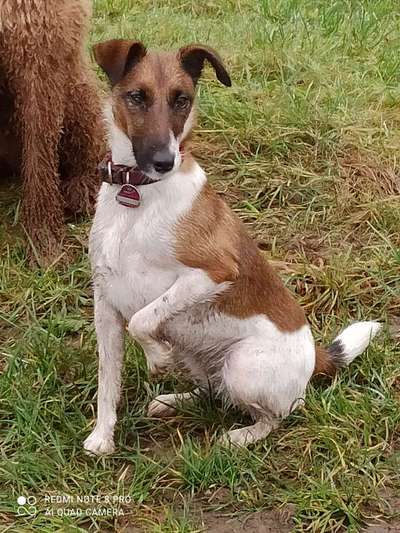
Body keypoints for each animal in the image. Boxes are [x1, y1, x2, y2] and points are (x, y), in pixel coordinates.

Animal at [84, 38, 382, 454]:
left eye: (182, 100)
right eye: (136, 97)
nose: (164, 161)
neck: (138, 198)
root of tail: (316, 356)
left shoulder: (215, 271)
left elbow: (144, 319)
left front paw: (156, 356)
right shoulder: (106, 306)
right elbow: (107, 380)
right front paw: (102, 437)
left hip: (243, 366)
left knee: (279, 414)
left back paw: (241, 436)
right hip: (201, 357)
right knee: (213, 391)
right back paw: (175, 401)